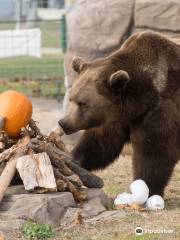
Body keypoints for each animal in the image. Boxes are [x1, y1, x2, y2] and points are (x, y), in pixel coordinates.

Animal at [58, 31, 180, 197]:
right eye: (71, 98)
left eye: (82, 103)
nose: (64, 122)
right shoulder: (117, 116)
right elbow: (101, 142)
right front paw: (74, 160)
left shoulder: (161, 111)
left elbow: (154, 153)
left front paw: (147, 189)